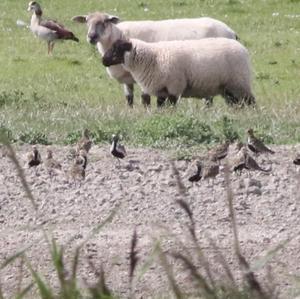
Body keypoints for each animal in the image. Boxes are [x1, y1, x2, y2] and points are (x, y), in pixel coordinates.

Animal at [71, 12, 238, 108]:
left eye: (105, 22)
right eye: (87, 22)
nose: (91, 37)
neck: (118, 35)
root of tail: (231, 31)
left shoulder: (147, 73)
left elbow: (145, 98)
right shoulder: (128, 78)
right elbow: (129, 98)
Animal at [101, 38, 255, 106]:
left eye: (116, 49)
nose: (103, 61)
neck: (152, 57)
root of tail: (242, 48)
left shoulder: (174, 87)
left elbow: (171, 106)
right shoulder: (161, 90)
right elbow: (160, 107)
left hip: (239, 82)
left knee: (250, 101)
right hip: (228, 88)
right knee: (236, 103)